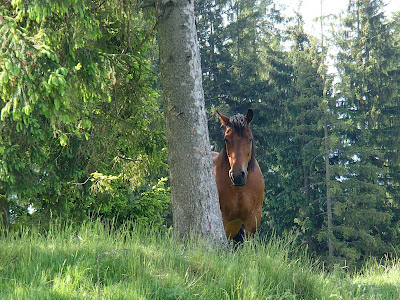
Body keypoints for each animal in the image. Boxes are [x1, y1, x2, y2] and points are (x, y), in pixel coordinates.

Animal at [211, 109, 264, 240]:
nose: (237, 176)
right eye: (226, 139)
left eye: (250, 139)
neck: (239, 189)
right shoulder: (224, 218)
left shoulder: (253, 218)